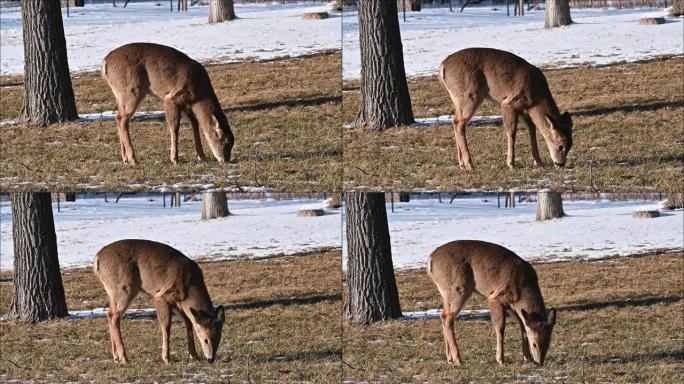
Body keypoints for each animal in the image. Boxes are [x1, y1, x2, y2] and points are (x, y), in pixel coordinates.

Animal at [93, 238, 226, 364]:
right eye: (206, 339)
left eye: (219, 337)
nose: (211, 359)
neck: (189, 287)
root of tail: (97, 258)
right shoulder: (162, 296)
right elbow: (166, 326)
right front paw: (166, 358)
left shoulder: (177, 303)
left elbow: (188, 322)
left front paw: (194, 356)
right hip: (124, 288)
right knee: (114, 317)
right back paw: (124, 359)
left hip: (114, 292)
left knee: (109, 314)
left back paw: (116, 357)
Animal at [101, 42, 234, 166]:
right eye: (225, 142)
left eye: (233, 142)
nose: (225, 160)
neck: (199, 95)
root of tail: (105, 62)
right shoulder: (171, 98)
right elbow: (174, 127)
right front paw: (175, 159)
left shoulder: (185, 104)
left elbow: (195, 123)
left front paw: (202, 157)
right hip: (131, 90)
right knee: (122, 119)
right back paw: (133, 160)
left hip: (120, 95)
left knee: (118, 117)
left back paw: (125, 159)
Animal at [428, 240, 556, 366]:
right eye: (534, 344)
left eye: (548, 342)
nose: (539, 362)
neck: (523, 289)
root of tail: (430, 259)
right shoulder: (496, 297)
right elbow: (500, 327)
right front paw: (500, 360)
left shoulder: (512, 306)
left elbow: (522, 325)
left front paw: (527, 358)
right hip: (457, 289)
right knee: (448, 317)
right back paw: (458, 359)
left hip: (448, 293)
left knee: (443, 315)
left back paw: (449, 358)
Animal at [438, 48, 572, 172]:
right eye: (561, 146)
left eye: (570, 145)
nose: (560, 164)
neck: (536, 98)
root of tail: (443, 66)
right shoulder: (509, 103)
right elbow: (511, 133)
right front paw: (511, 164)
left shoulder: (524, 110)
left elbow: (532, 128)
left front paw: (538, 162)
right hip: (469, 95)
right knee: (459, 123)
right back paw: (469, 165)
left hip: (459, 99)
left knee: (455, 121)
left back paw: (461, 164)